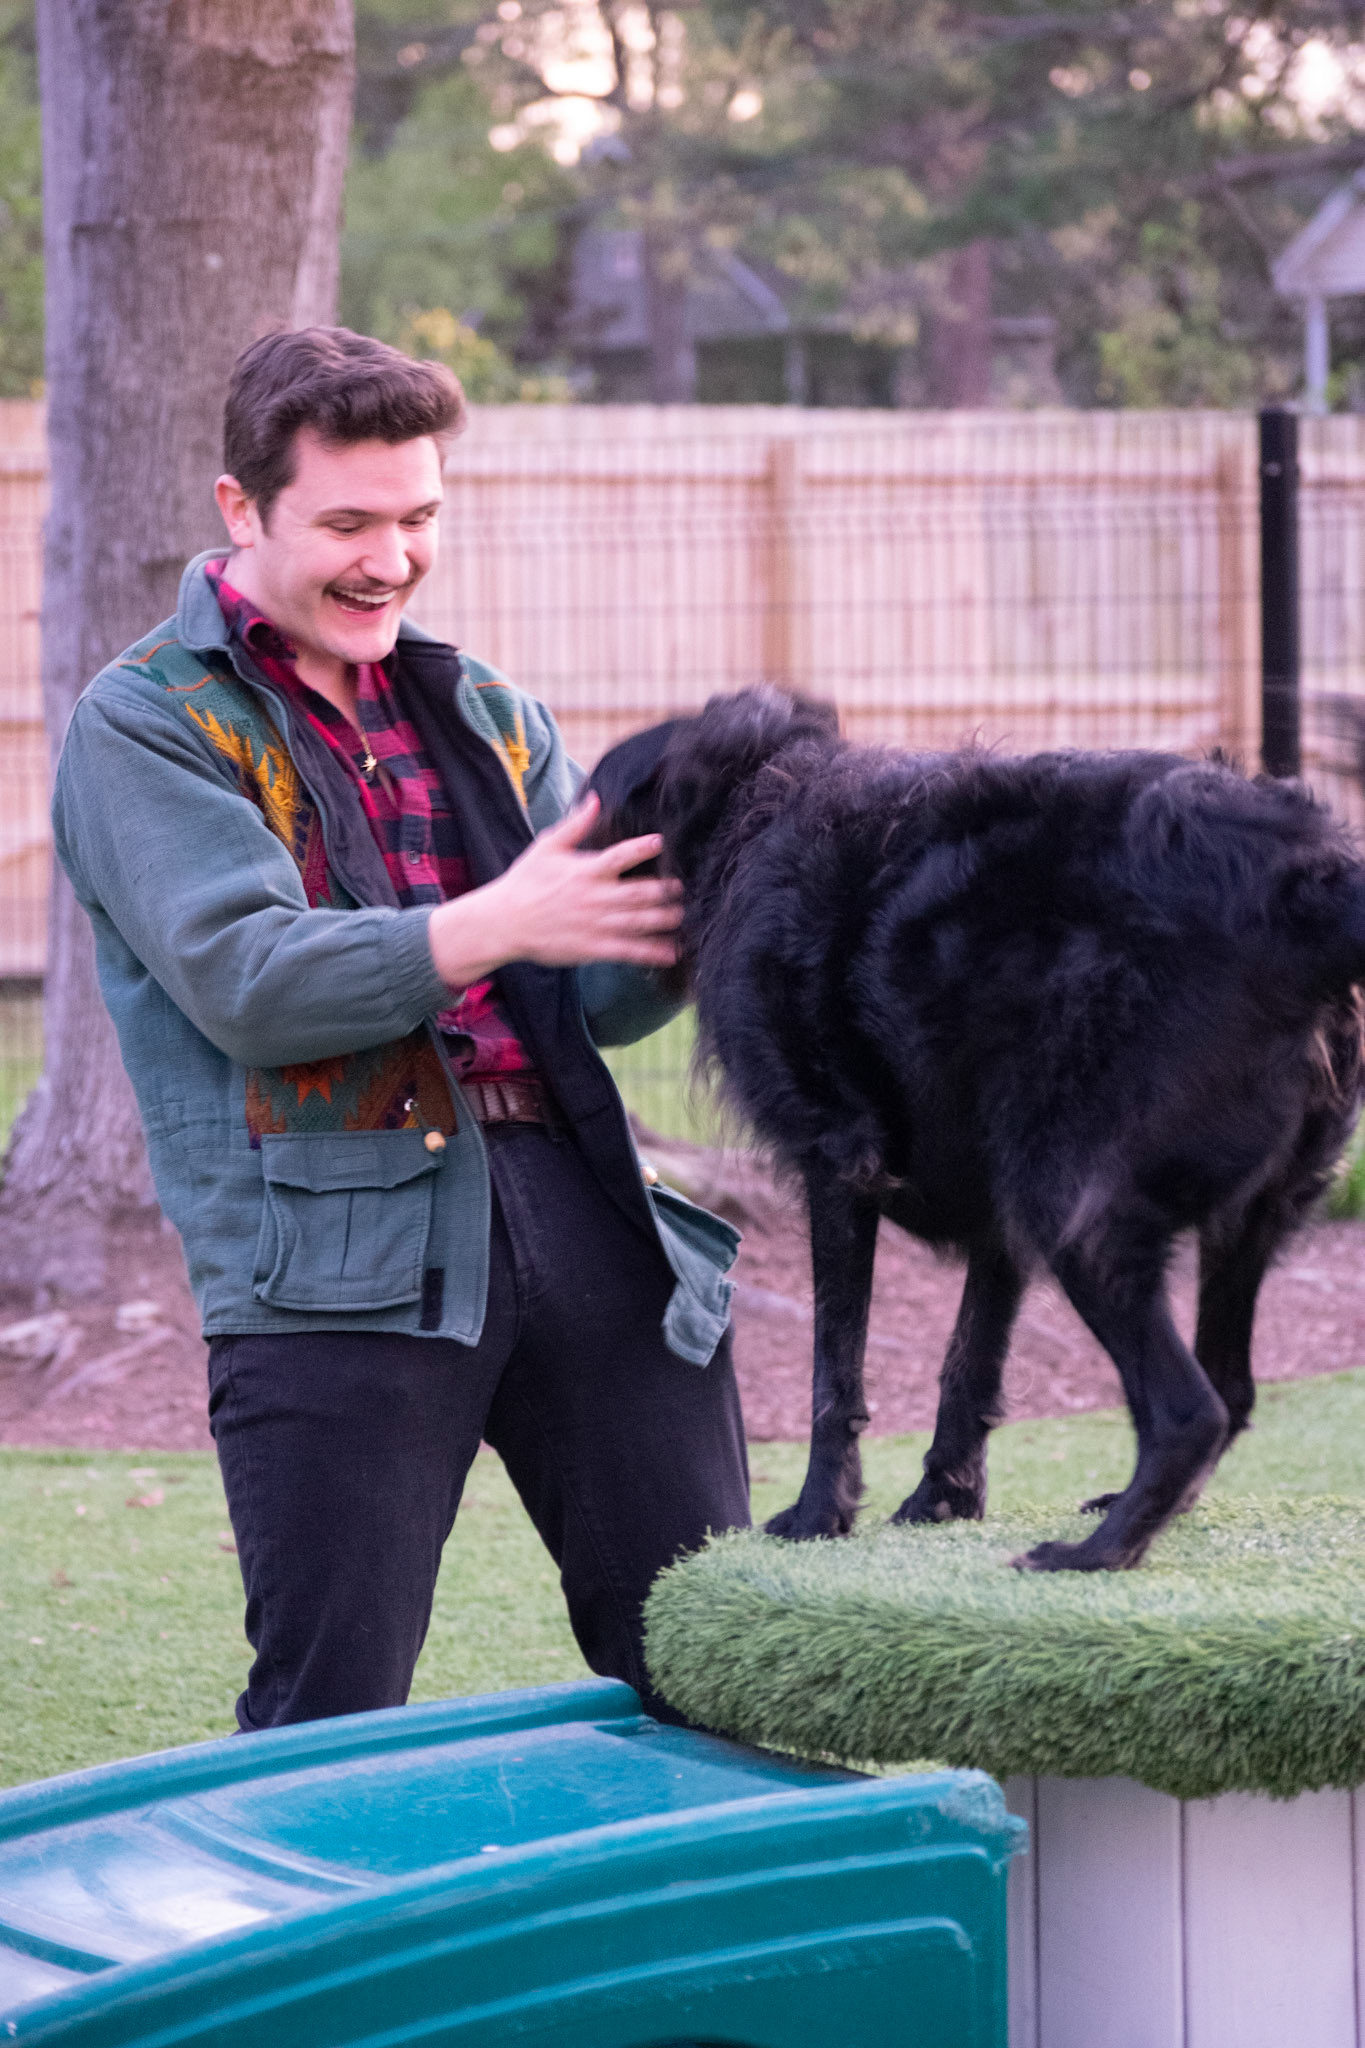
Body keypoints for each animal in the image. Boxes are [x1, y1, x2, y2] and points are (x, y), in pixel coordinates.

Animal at [586, 686, 1365, 1571]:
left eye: (592, 802)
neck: (757, 792)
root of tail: (1304, 882)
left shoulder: (838, 1163)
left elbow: (834, 1373)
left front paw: (821, 1514)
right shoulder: (994, 1217)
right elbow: (969, 1362)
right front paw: (942, 1499)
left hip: (1070, 1205)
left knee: (1189, 1410)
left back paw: (1093, 1554)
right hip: (1232, 1216)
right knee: (1229, 1392)